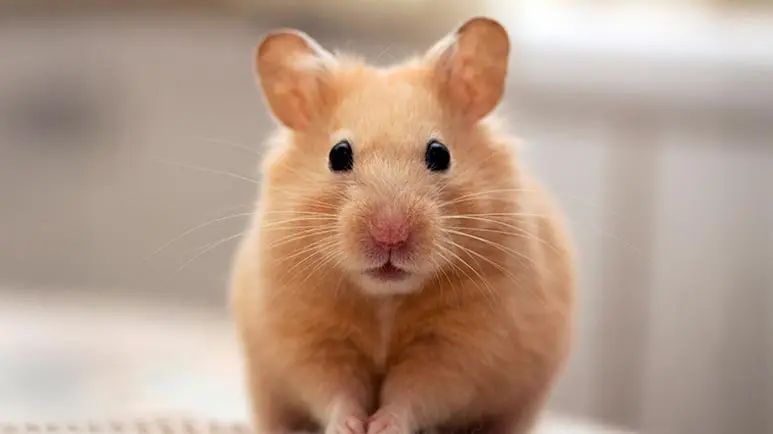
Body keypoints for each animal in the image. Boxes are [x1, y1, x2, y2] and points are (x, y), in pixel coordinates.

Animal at [232, 17, 575, 434]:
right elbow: (335, 389)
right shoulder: (309, 338)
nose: (390, 234)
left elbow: (415, 392)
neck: (385, 297)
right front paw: (350, 427)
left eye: (439, 154)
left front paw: (382, 426)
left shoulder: (460, 346)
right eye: (338, 154)